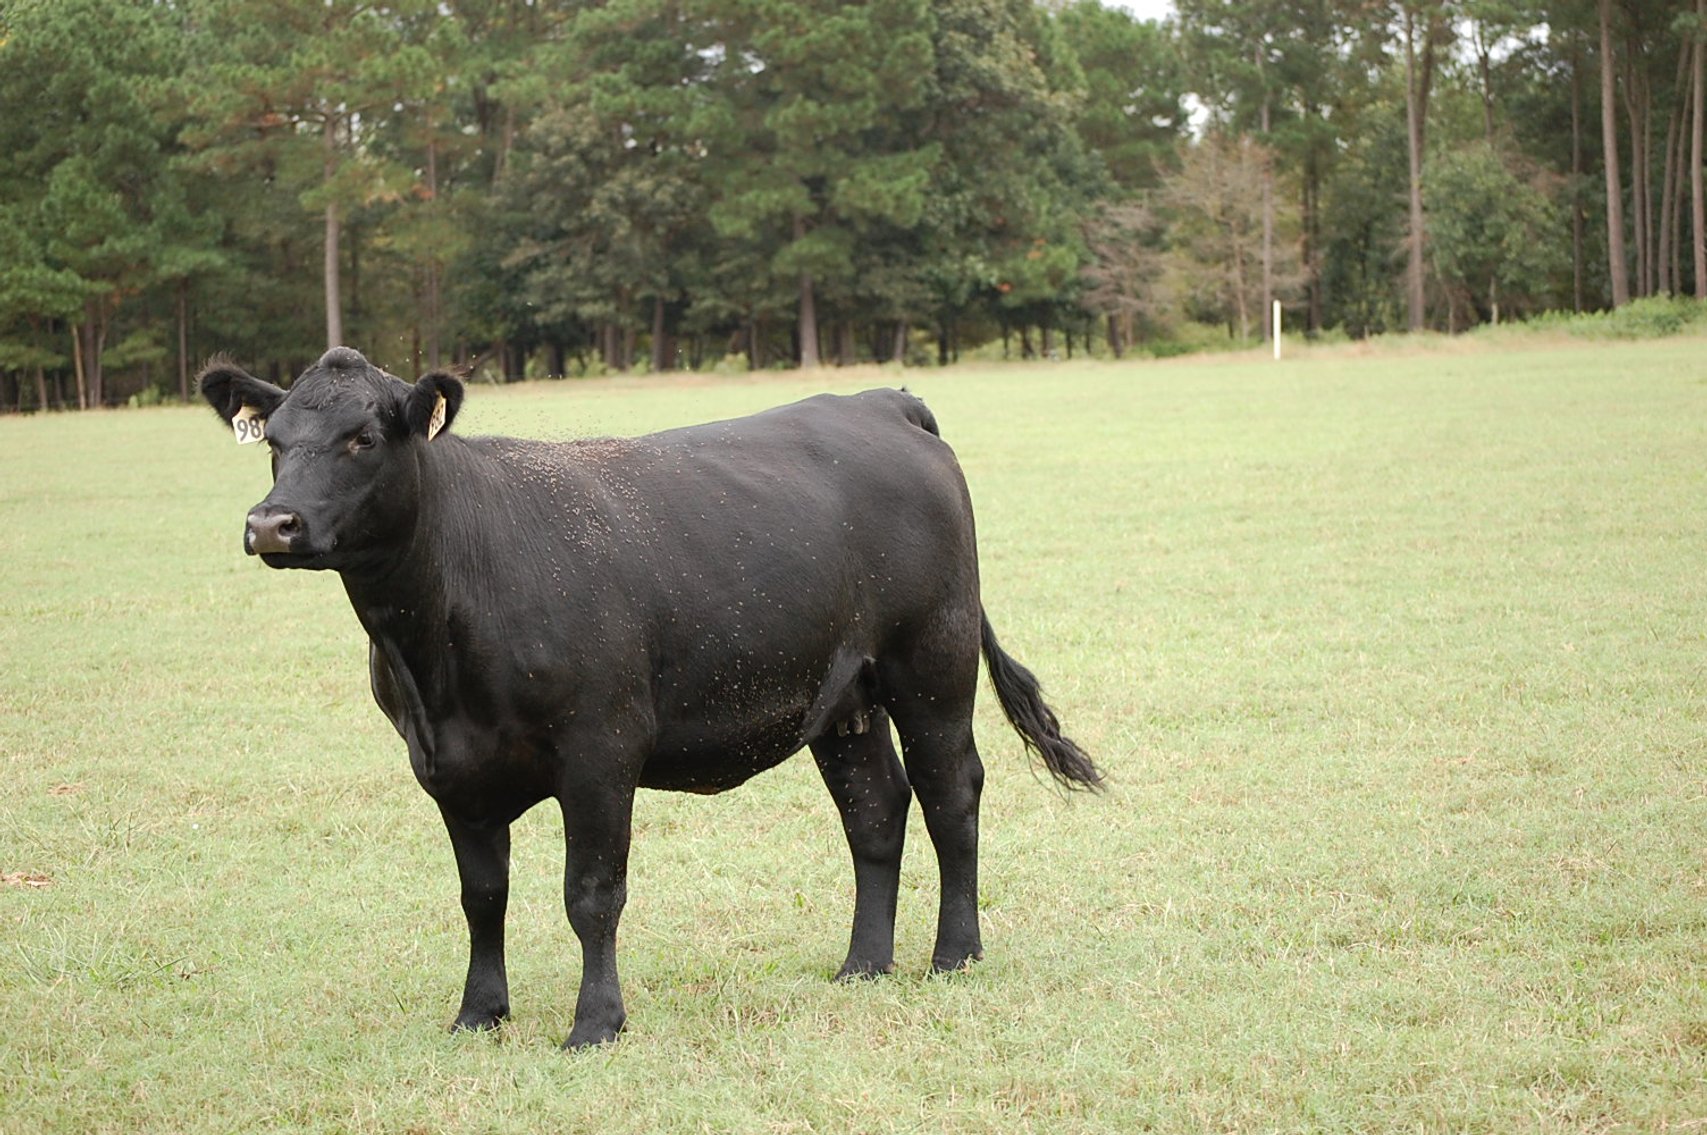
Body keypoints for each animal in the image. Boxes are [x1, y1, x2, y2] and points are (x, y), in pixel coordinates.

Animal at [199, 346, 1102, 1050]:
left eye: (361, 437)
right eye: (274, 441)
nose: (271, 522)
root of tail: (881, 401)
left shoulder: (600, 751)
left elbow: (591, 894)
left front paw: (595, 1022)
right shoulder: (446, 768)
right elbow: (481, 897)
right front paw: (478, 1014)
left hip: (932, 664)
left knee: (952, 793)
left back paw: (954, 954)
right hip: (846, 692)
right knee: (876, 808)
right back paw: (861, 966)